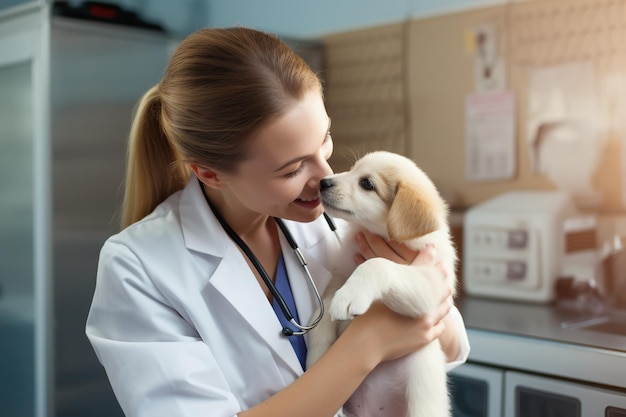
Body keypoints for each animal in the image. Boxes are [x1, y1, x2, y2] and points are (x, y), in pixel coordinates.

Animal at [306, 150, 456, 416]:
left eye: (367, 184)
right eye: (352, 170)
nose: (323, 182)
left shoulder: (432, 284)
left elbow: (378, 264)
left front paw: (351, 295)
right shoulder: (338, 277)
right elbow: (322, 311)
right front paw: (315, 357)